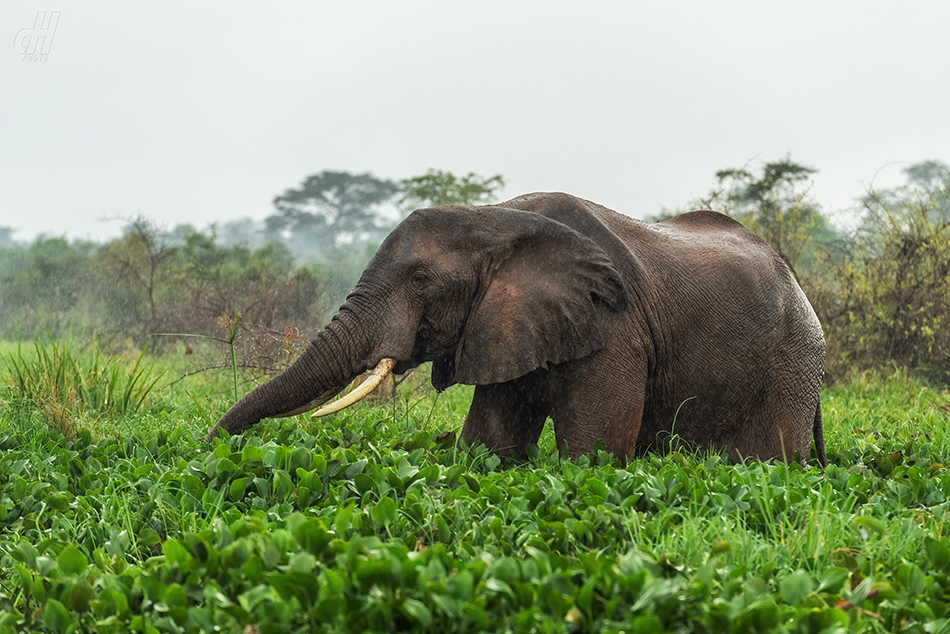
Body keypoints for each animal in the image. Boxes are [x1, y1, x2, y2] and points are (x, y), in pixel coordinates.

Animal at [206, 191, 824, 464]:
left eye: (421, 280)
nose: (208, 451)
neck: (495, 217)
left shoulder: (614, 326)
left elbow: (594, 457)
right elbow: (491, 444)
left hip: (793, 360)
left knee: (772, 458)